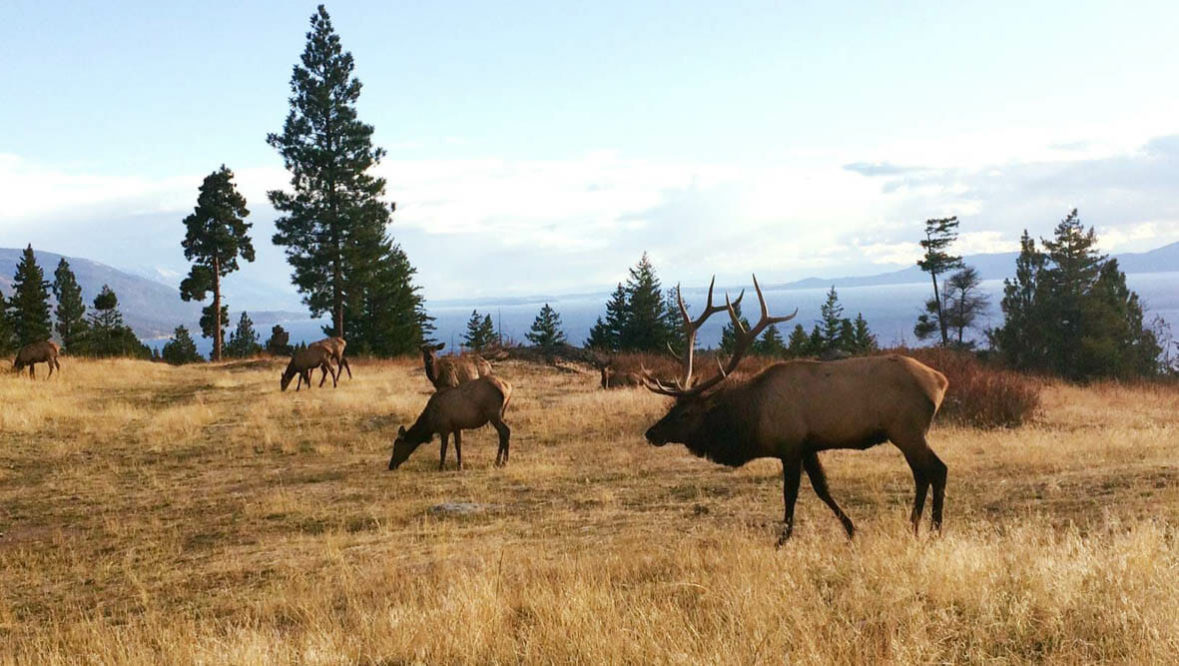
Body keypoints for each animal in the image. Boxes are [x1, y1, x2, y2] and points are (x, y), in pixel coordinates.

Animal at [642, 276, 949, 545]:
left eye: (686, 413)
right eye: (673, 406)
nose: (651, 433)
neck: (753, 418)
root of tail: (940, 381)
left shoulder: (789, 444)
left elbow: (790, 493)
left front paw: (783, 539)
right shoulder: (808, 446)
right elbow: (822, 488)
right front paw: (851, 529)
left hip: (907, 429)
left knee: (937, 469)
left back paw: (933, 530)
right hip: (907, 433)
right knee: (922, 473)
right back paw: (914, 526)